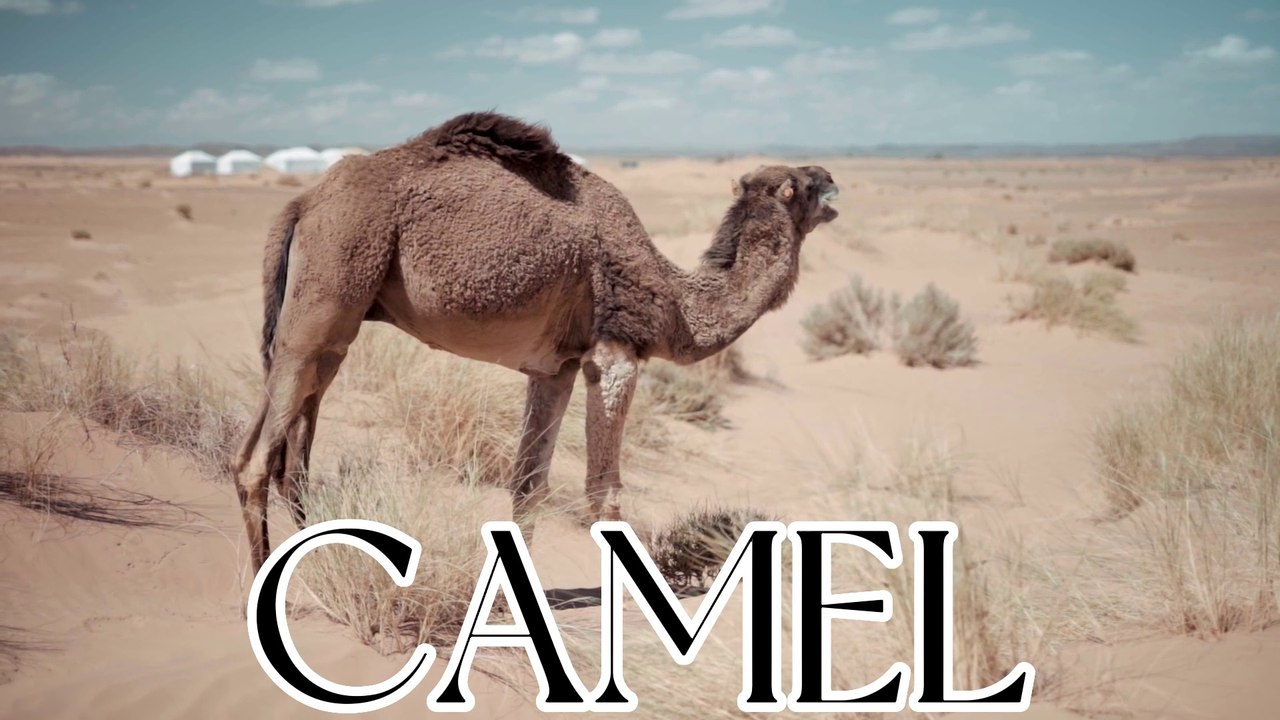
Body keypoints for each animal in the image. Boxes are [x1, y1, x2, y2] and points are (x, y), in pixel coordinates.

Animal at [233, 111, 839, 570]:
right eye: (802, 186)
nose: (832, 177)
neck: (675, 302)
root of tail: (304, 202)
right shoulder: (615, 355)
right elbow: (603, 488)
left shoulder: (555, 368)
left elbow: (528, 484)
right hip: (334, 274)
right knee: (258, 462)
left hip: (327, 319)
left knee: (292, 453)